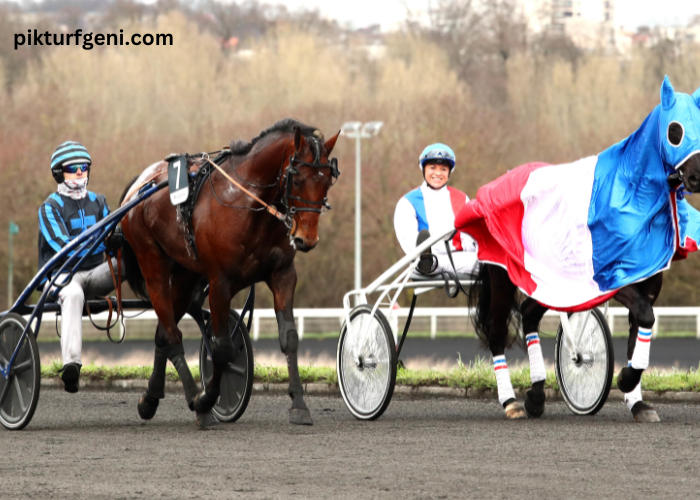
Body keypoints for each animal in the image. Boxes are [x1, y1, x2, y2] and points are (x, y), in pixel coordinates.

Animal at [121, 120, 342, 426]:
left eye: (326, 181)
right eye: (296, 179)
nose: (305, 239)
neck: (247, 204)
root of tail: (139, 185)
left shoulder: (282, 274)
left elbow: (290, 338)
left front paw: (299, 404)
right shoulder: (220, 282)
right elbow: (222, 348)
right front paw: (208, 399)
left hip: (185, 273)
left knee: (163, 334)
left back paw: (151, 398)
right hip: (152, 261)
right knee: (172, 334)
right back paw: (196, 401)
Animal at [456, 77, 700, 422]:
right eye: (675, 130)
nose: (697, 175)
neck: (629, 194)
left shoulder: (647, 279)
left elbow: (639, 328)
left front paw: (637, 401)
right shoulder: (610, 277)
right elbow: (645, 316)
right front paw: (625, 379)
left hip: (551, 281)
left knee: (528, 313)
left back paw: (535, 395)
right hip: (503, 274)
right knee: (496, 330)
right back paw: (511, 402)